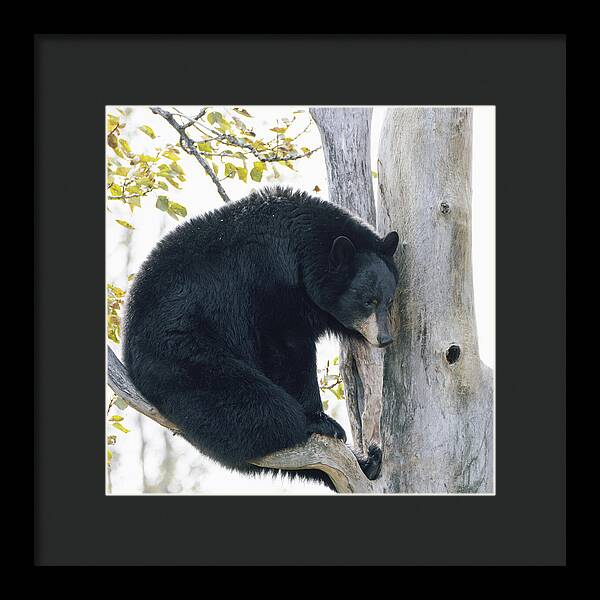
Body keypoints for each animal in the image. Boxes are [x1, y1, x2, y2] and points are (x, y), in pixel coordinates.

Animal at [122, 185, 398, 490]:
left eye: (389, 300)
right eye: (368, 301)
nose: (385, 338)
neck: (301, 250)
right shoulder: (269, 284)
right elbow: (286, 349)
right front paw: (318, 417)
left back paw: (368, 462)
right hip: (183, 354)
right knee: (257, 406)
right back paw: (308, 425)